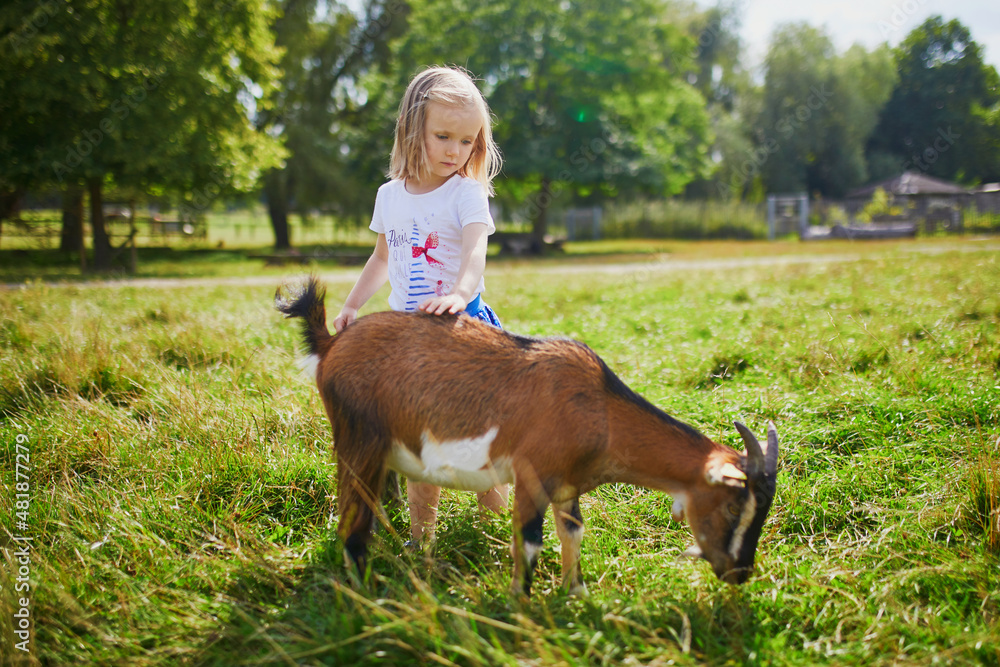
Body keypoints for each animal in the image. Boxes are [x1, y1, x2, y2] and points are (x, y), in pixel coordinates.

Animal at [275, 277, 779, 594]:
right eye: (734, 505)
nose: (740, 573)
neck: (598, 407)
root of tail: (331, 344)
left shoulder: (568, 486)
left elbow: (572, 533)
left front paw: (576, 593)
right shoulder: (531, 474)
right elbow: (531, 540)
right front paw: (520, 601)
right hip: (356, 442)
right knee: (351, 526)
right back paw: (363, 597)